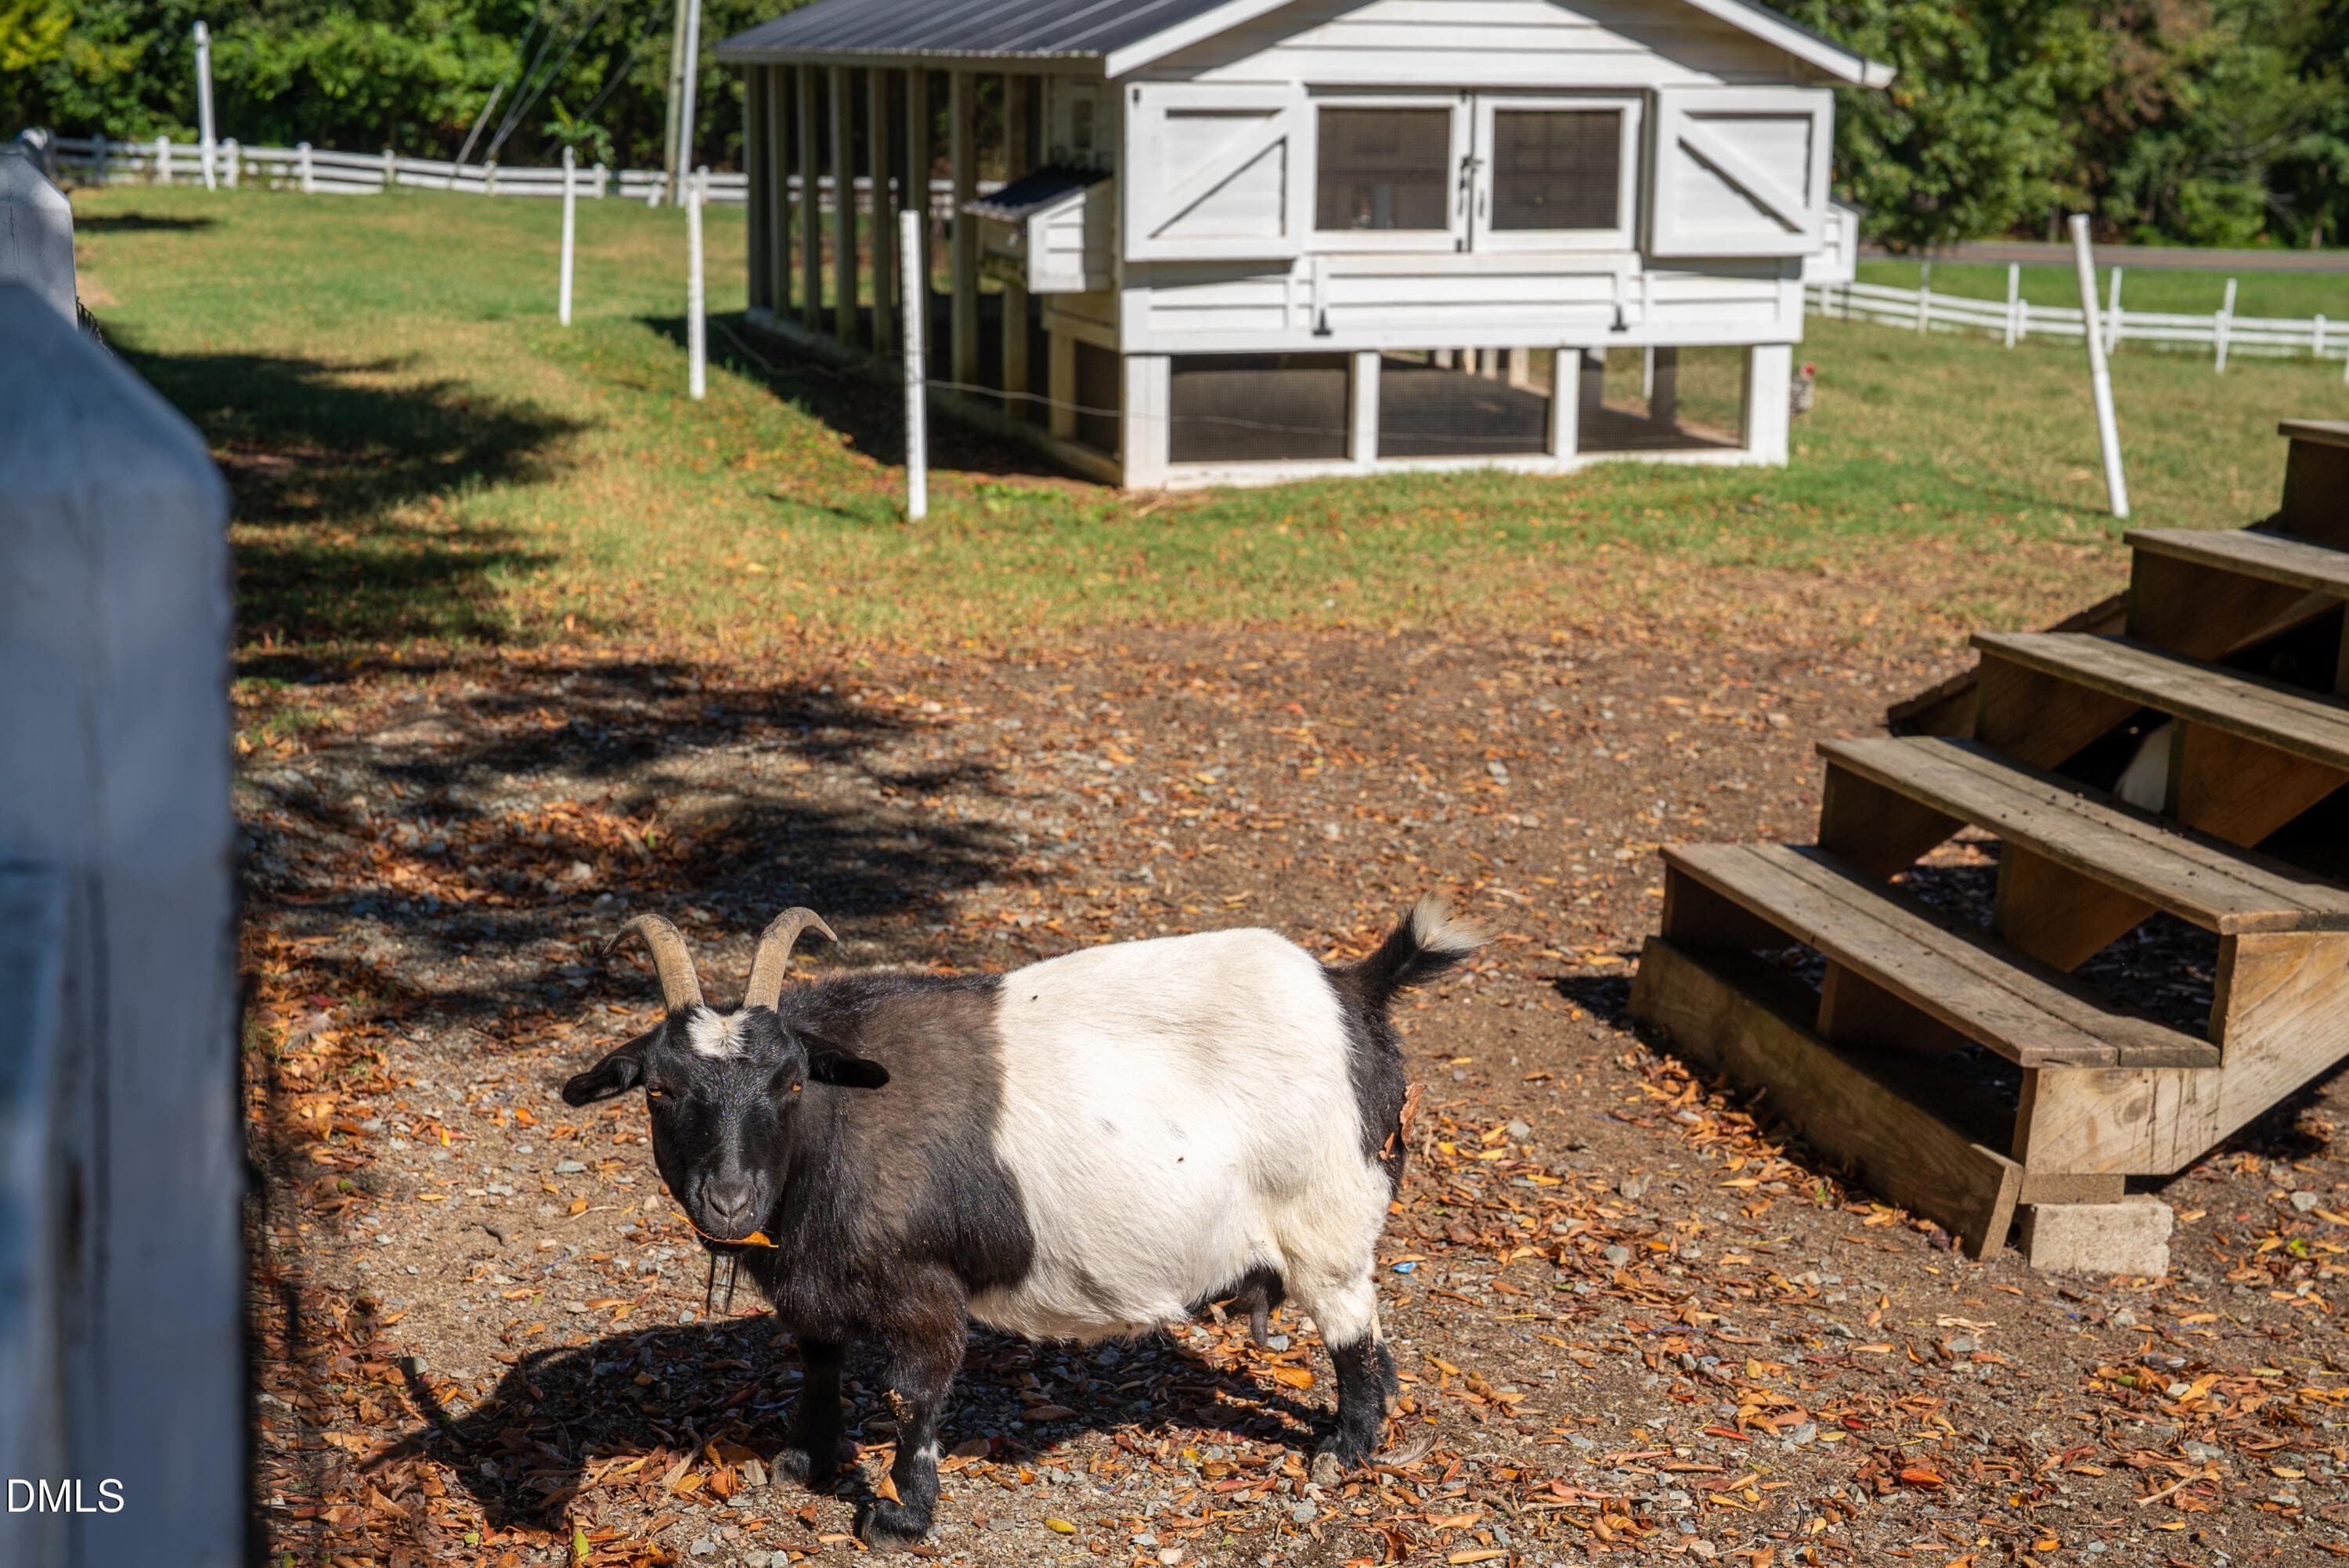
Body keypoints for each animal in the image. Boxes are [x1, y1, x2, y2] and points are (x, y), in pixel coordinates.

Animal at [561, 898, 1481, 1549]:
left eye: (789, 1082)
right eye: (659, 1088)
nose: (730, 1200)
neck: (833, 1128)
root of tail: (1355, 991)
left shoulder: (921, 1286)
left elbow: (916, 1391)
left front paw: (901, 1517)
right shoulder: (815, 1284)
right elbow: (819, 1361)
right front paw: (802, 1461)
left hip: (1326, 1219)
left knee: (1355, 1334)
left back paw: (1343, 1448)